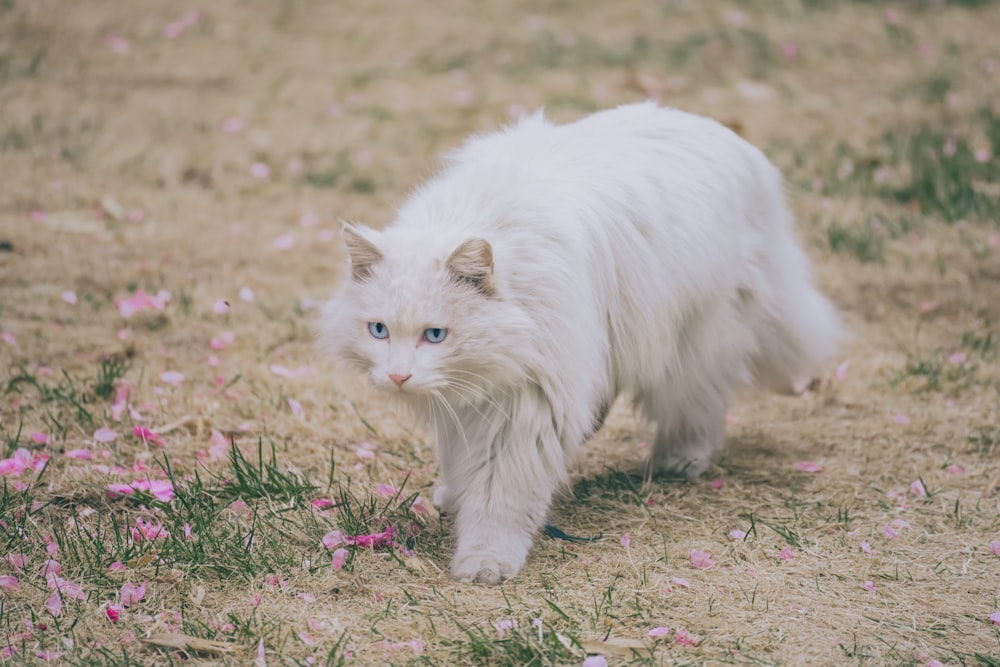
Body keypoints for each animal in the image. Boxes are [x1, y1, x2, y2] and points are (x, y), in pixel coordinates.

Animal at [318, 100, 836, 584]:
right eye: (379, 330)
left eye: (434, 335)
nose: (398, 376)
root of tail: (727, 137)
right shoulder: (477, 402)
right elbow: (462, 461)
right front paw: (455, 494)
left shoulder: (526, 406)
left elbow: (499, 499)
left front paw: (485, 562)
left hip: (692, 342)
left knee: (697, 406)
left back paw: (682, 459)